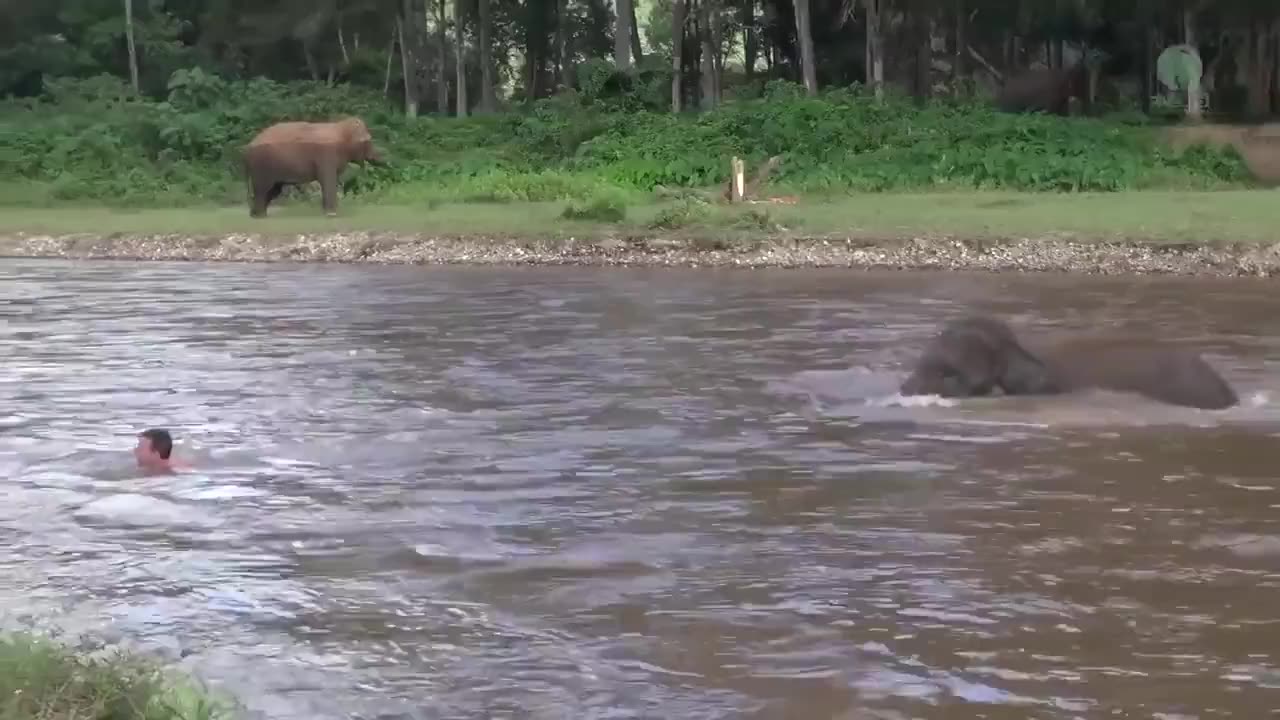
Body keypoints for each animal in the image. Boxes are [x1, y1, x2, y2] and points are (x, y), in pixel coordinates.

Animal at [240, 116, 378, 217]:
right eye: (369, 141)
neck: (341, 129)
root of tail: (247, 149)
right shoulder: (326, 155)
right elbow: (328, 181)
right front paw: (332, 214)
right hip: (262, 166)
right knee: (262, 189)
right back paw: (259, 215)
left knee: (273, 190)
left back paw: (257, 215)